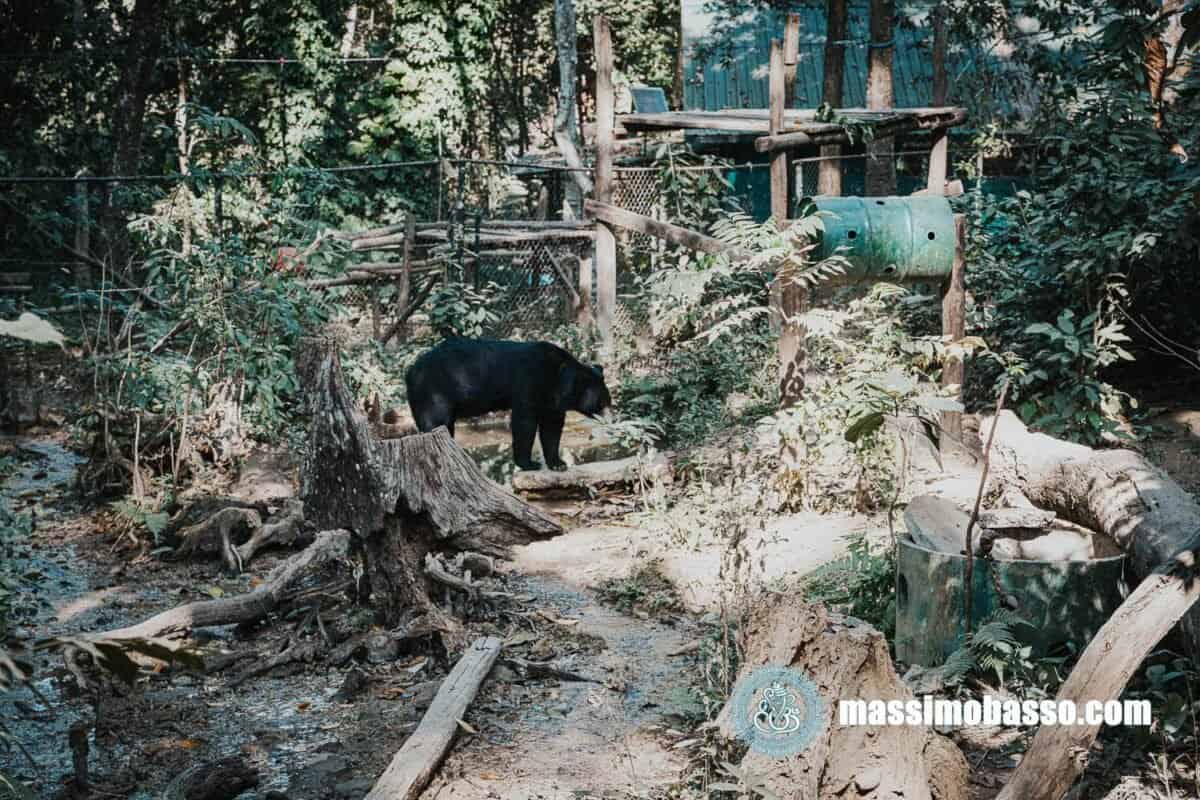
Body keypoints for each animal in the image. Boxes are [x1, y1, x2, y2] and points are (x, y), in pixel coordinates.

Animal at [405, 338, 612, 471]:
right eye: (602, 402)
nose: (611, 417)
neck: (558, 378)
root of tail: (411, 370)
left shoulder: (552, 401)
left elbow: (551, 427)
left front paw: (558, 464)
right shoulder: (530, 381)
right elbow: (524, 422)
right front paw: (529, 463)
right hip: (433, 392)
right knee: (436, 422)